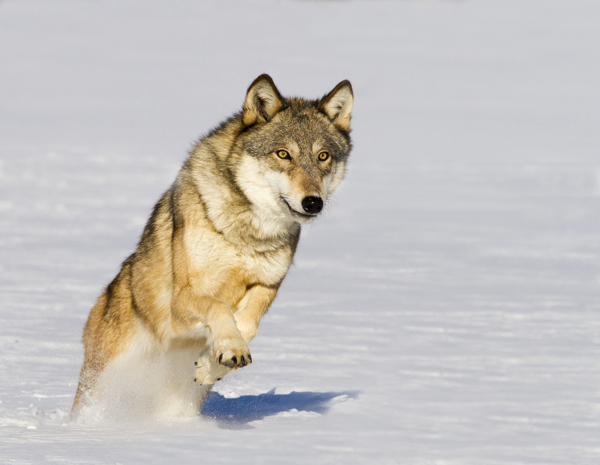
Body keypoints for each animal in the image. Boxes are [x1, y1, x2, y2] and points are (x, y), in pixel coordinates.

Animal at [70, 73, 352, 420]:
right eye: (283, 154)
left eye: (323, 156)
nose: (312, 202)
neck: (246, 235)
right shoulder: (181, 302)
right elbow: (219, 308)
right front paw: (230, 348)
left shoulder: (267, 286)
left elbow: (248, 325)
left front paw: (212, 363)